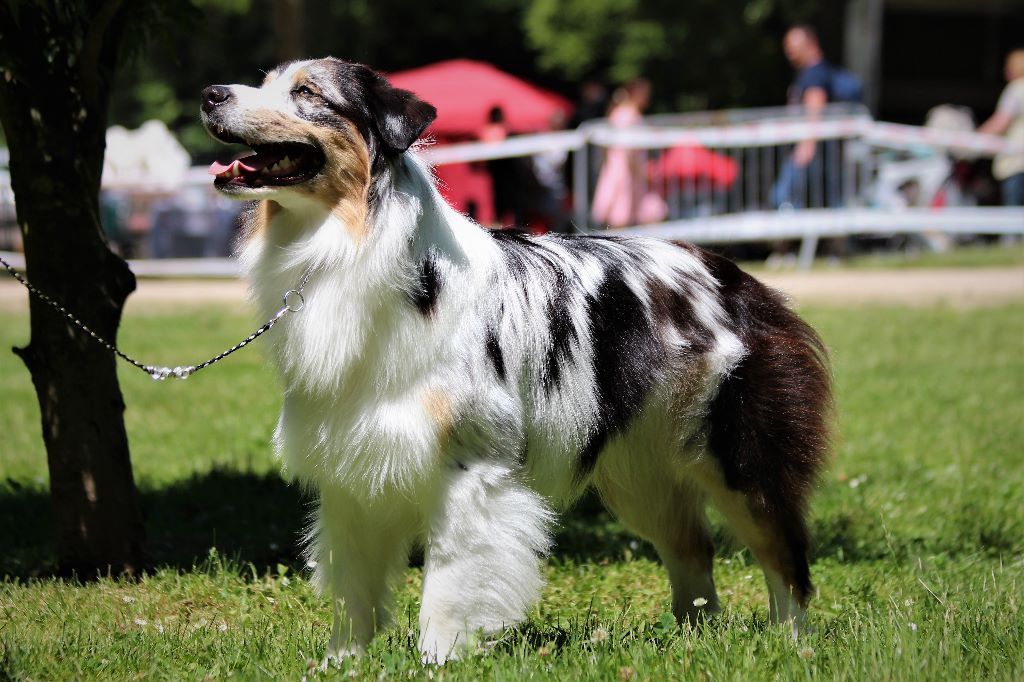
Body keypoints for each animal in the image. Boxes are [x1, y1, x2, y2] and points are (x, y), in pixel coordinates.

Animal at [199, 58, 831, 663]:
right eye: (264, 81)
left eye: (307, 93)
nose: (210, 94)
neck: (349, 240)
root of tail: (742, 280)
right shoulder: (351, 461)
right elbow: (353, 584)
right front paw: (343, 661)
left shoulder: (471, 467)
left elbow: (448, 582)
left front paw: (438, 658)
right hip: (641, 468)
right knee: (693, 550)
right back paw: (691, 639)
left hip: (740, 458)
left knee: (785, 556)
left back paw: (793, 642)